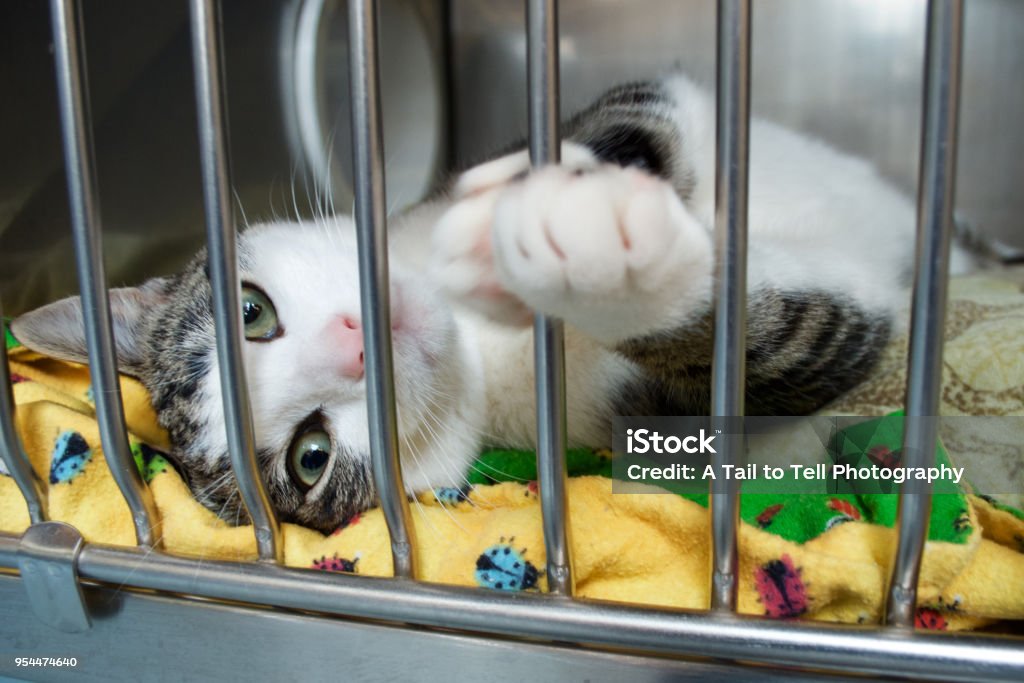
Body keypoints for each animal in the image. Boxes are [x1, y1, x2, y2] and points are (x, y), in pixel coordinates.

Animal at [9, 74, 950, 532]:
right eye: (311, 459)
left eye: (252, 310)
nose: (356, 342)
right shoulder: (645, 414)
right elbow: (781, 350)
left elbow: (626, 123)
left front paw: (549, 211)